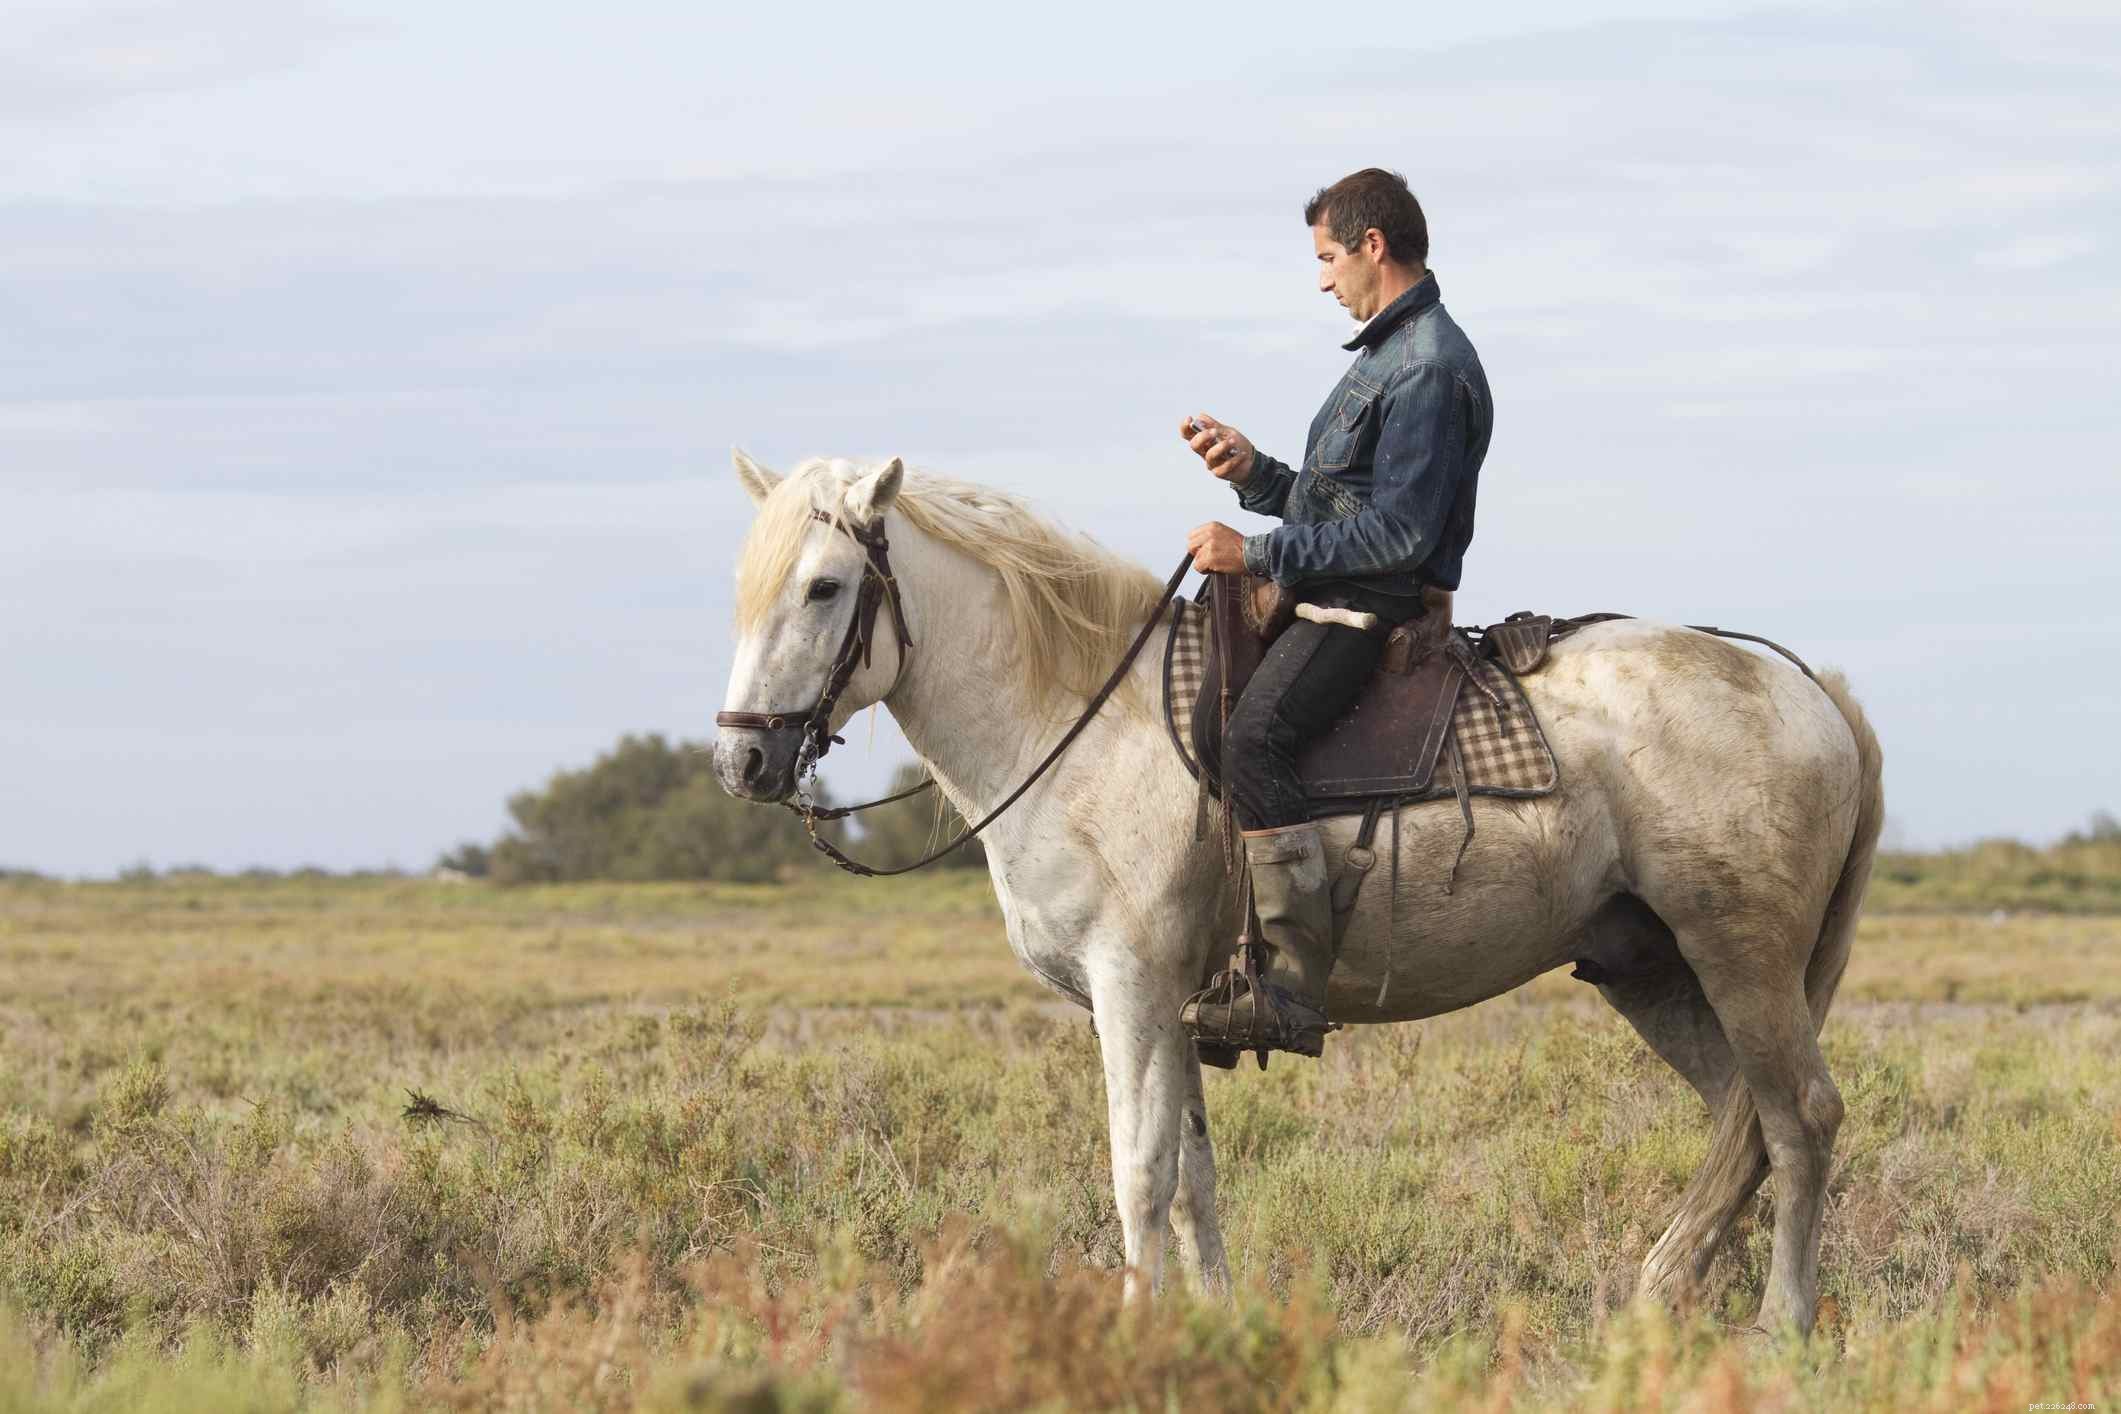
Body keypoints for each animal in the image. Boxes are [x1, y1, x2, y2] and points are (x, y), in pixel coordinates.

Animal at [711, 451, 1884, 1338]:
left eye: (823, 586)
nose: (744, 763)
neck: (1082, 720)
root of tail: (1809, 688)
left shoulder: (1130, 990)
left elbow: (1138, 1173)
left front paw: (1134, 1335)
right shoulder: (1177, 1006)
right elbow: (1194, 1181)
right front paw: (1214, 1328)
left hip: (1741, 958)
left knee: (1799, 1118)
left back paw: (1780, 1326)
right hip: (1648, 968)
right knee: (1742, 1117)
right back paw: (1661, 1293)